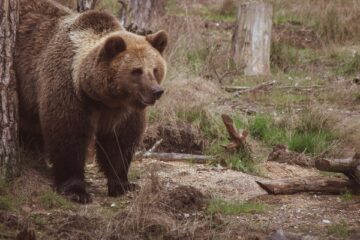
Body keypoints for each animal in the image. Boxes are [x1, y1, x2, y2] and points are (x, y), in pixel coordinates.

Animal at [16, 0, 168, 203]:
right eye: (136, 70)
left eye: (155, 69)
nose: (156, 91)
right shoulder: (69, 92)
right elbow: (68, 135)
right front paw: (76, 190)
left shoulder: (123, 110)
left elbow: (120, 142)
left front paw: (123, 184)